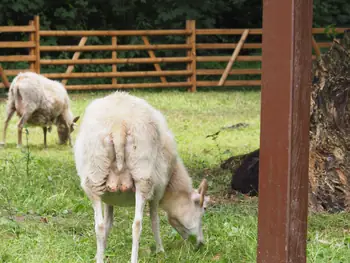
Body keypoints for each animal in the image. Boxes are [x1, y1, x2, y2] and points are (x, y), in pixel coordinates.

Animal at [74, 91, 209, 263]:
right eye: (203, 208)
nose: (201, 244)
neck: (172, 182)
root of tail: (119, 125)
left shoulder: (109, 198)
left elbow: (108, 224)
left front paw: (100, 253)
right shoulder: (157, 192)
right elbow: (155, 220)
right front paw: (160, 250)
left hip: (95, 177)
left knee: (99, 226)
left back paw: (100, 259)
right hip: (143, 178)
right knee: (137, 225)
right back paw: (134, 258)